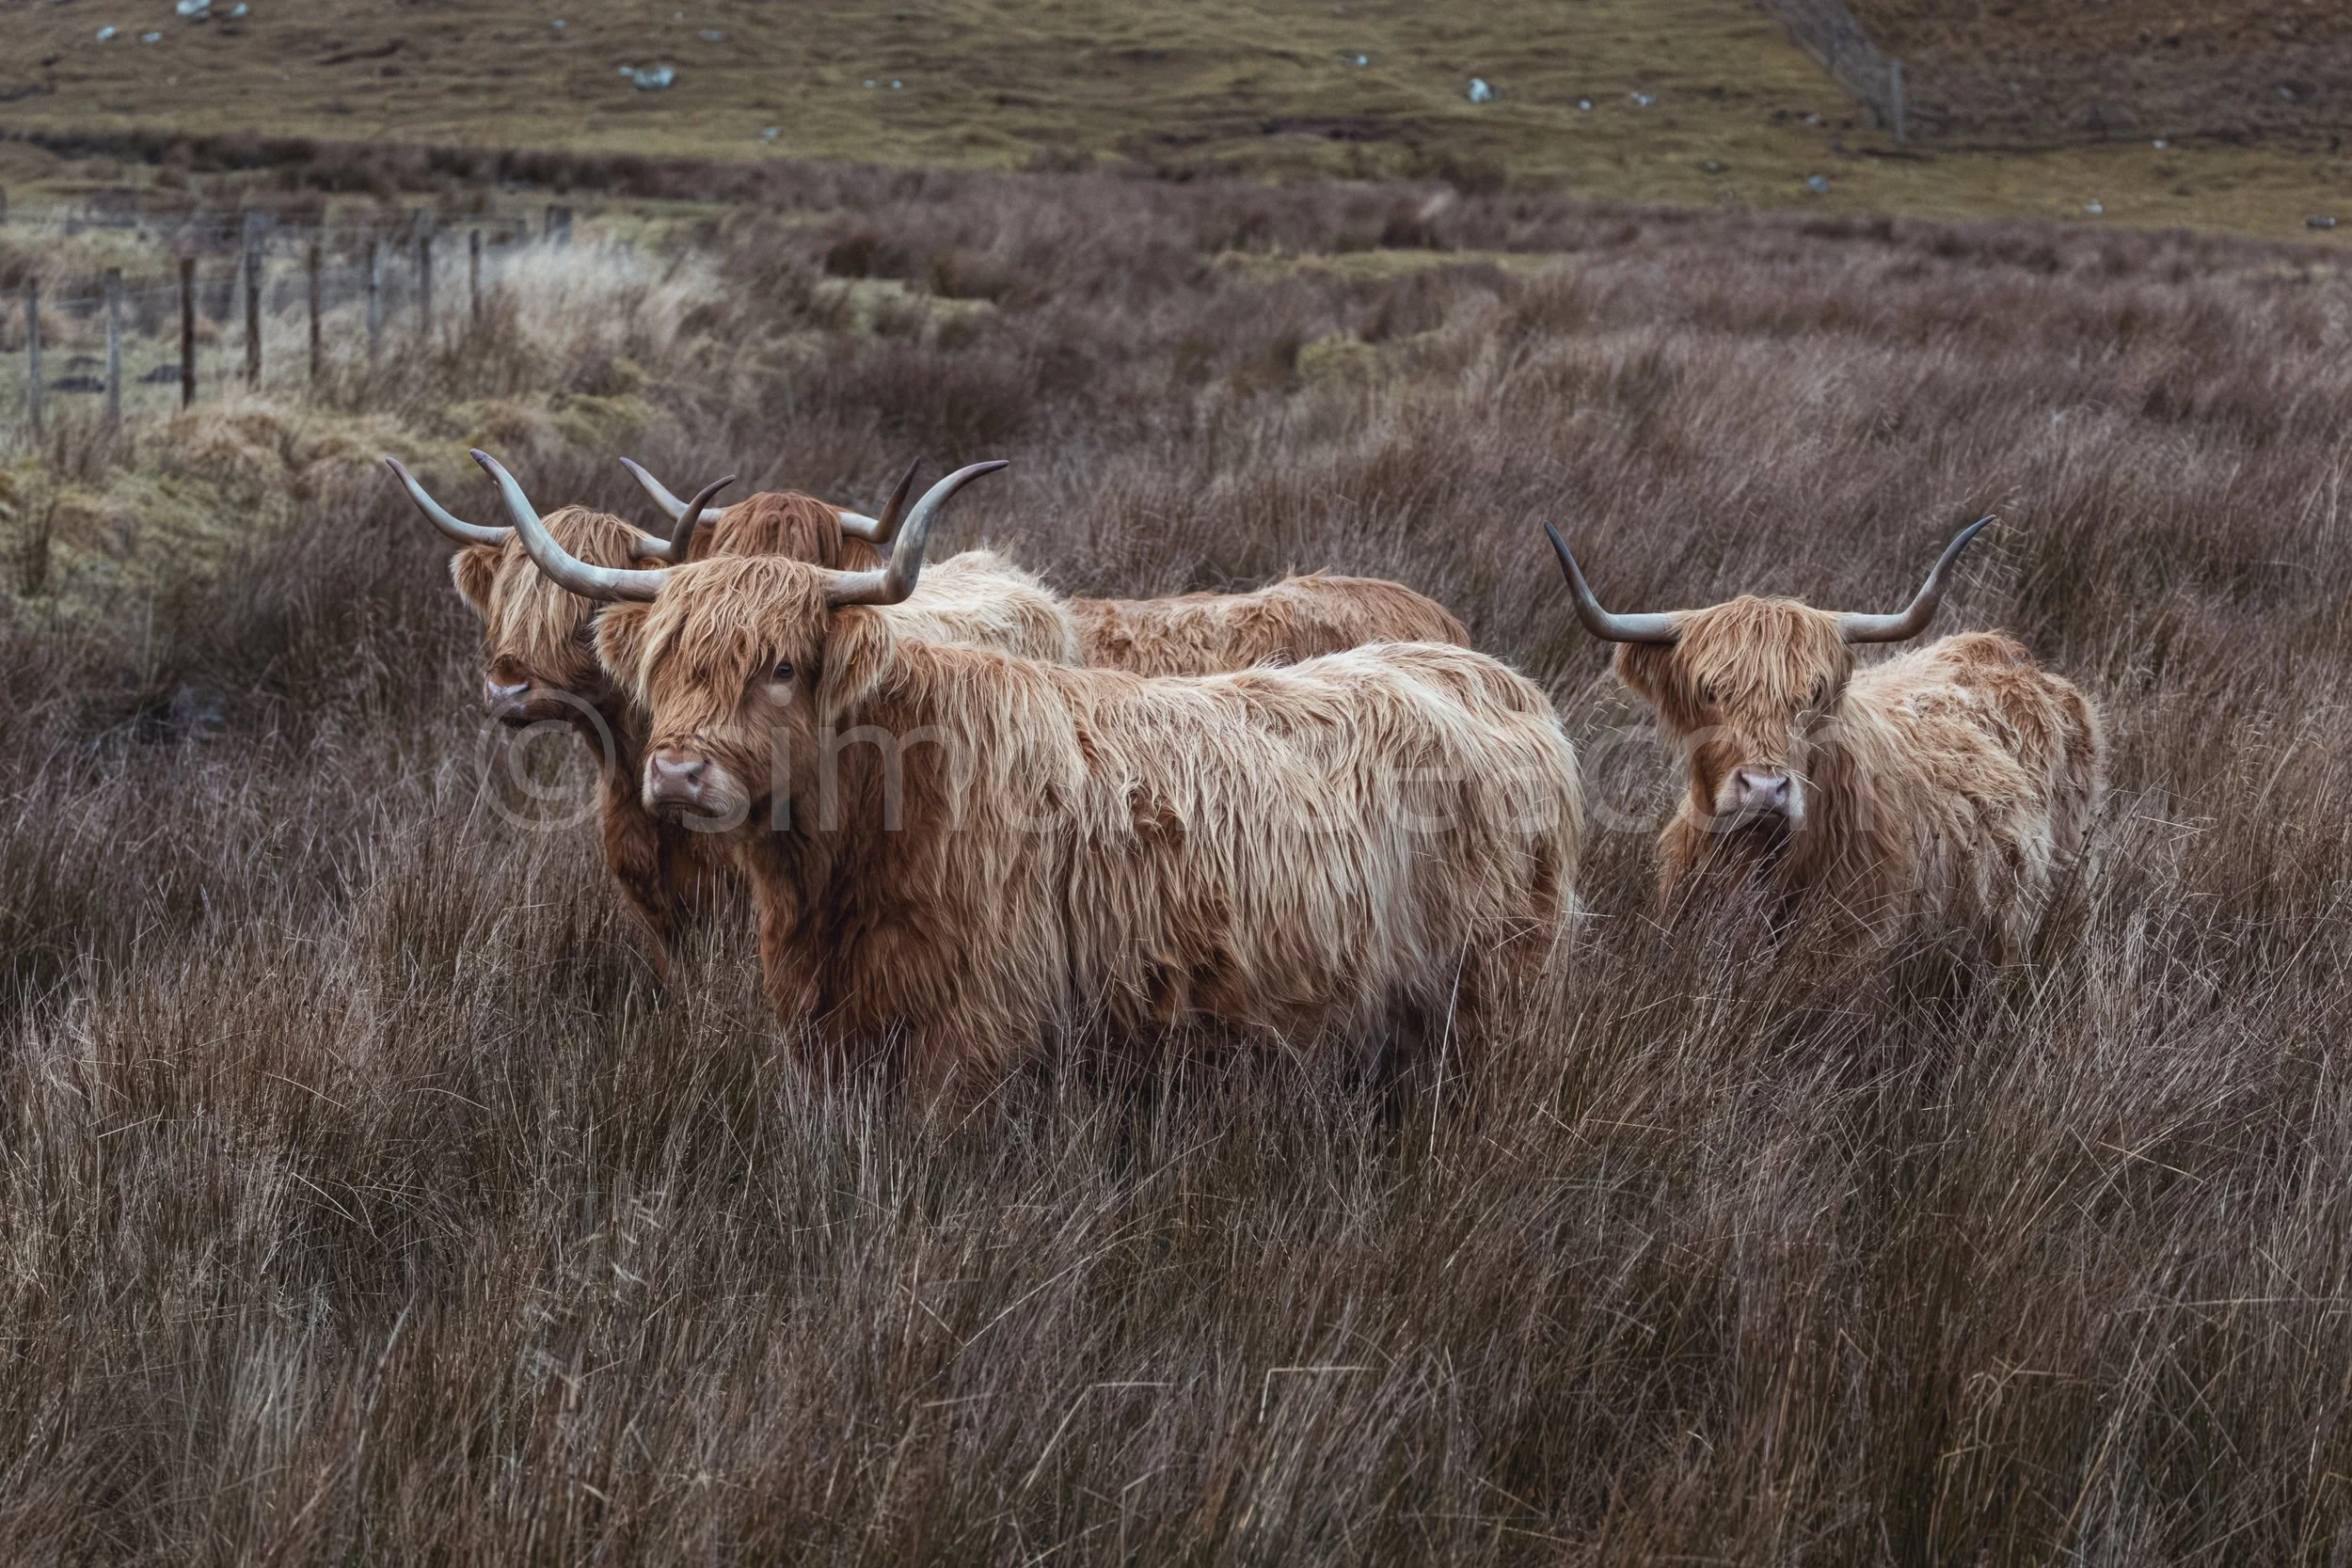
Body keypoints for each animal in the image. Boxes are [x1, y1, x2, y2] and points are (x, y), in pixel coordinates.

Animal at [495, 466, 1586, 1101]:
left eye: (782, 665)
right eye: (667, 662)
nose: (677, 770)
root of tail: (1493, 677)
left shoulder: (976, 1041)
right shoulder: (834, 1036)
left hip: (1497, 998)